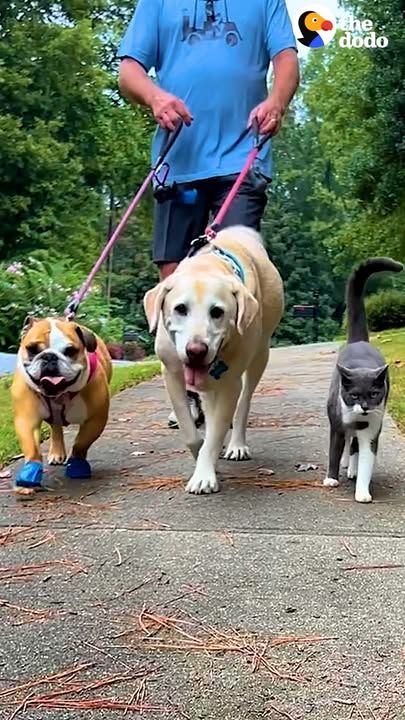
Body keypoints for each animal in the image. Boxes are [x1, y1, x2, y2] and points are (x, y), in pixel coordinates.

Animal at [324, 258, 402, 500]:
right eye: (354, 395)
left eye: (375, 393)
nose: (366, 407)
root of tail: (359, 341)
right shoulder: (338, 424)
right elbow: (334, 450)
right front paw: (331, 479)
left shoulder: (372, 430)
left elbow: (367, 457)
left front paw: (362, 493)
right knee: (349, 443)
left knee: (355, 447)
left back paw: (353, 470)